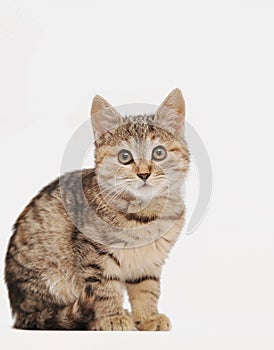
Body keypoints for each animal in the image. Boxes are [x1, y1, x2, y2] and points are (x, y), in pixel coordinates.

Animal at [5, 88, 191, 330]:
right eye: (124, 157)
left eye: (159, 153)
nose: (144, 173)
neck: (144, 214)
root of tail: (19, 312)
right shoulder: (95, 254)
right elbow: (105, 287)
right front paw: (113, 317)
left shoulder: (149, 261)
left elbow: (147, 289)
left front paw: (148, 317)